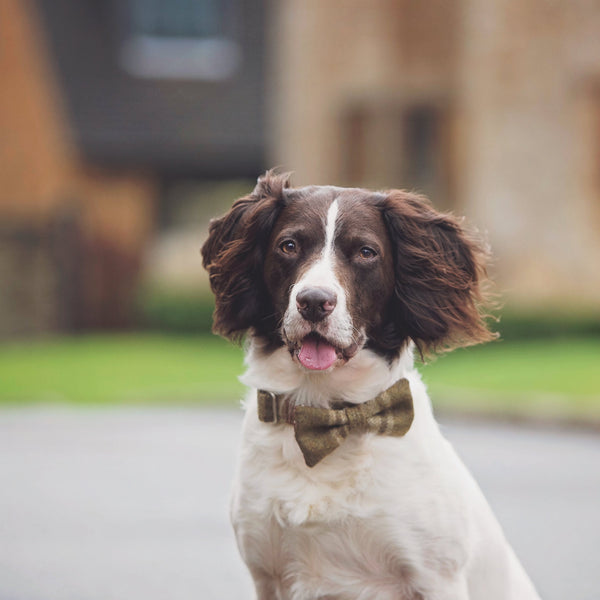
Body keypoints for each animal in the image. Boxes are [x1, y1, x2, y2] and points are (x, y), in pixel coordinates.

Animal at [200, 172, 540, 600]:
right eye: (289, 246)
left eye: (365, 252)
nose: (314, 301)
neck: (328, 416)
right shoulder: (267, 575)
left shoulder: (437, 576)